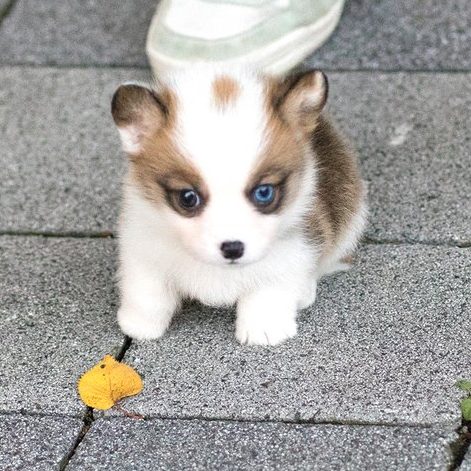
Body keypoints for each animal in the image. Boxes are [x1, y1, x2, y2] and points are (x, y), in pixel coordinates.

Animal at [111, 67, 368, 346]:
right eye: (188, 198)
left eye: (264, 193)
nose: (233, 248)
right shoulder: (143, 248)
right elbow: (147, 293)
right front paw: (139, 326)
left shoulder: (292, 251)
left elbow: (269, 289)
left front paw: (264, 329)